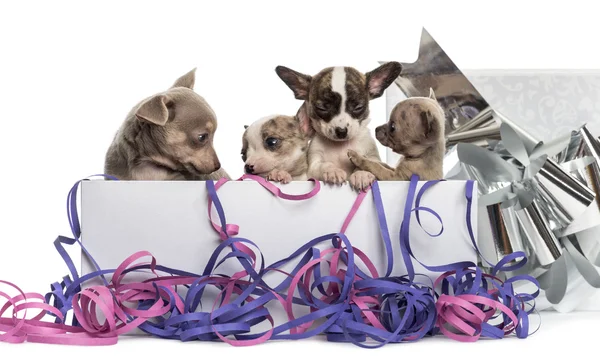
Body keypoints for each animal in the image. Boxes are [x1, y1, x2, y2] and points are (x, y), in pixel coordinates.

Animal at [276, 62, 404, 192]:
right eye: (322, 108)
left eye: (358, 107)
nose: (341, 131)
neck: (340, 145)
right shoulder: (314, 165)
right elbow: (324, 165)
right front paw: (333, 171)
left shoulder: (373, 157)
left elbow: (369, 163)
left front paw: (361, 174)